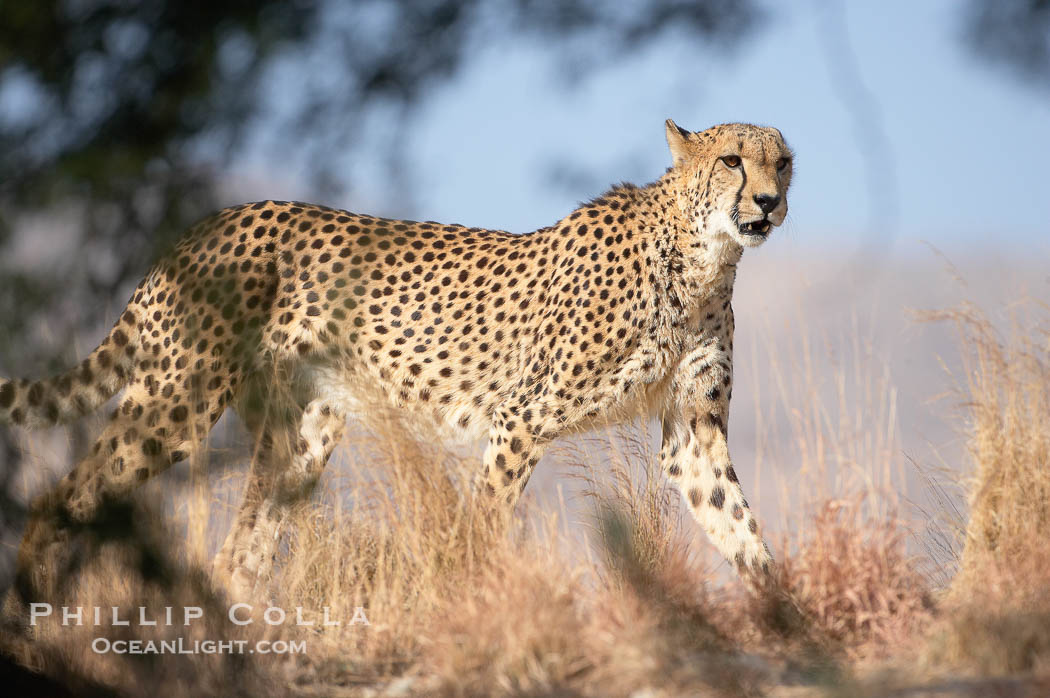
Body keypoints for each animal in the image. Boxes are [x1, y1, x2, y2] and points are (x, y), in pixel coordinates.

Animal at [1, 120, 792, 606]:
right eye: (732, 160)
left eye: (782, 161)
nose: (768, 200)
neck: (704, 258)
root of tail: (208, 222)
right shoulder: (519, 419)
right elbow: (482, 530)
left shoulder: (692, 433)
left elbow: (740, 528)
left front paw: (788, 621)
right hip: (178, 401)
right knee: (57, 501)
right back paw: (33, 625)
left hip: (303, 436)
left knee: (240, 554)